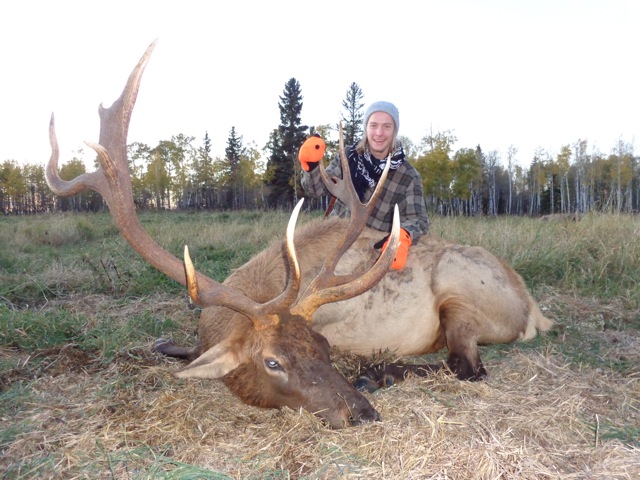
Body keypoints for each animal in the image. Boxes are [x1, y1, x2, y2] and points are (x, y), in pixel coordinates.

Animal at [46, 40, 553, 429]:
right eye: (274, 361)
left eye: (324, 348)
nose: (362, 413)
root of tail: (534, 310)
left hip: (459, 290)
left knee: (466, 366)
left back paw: (379, 373)